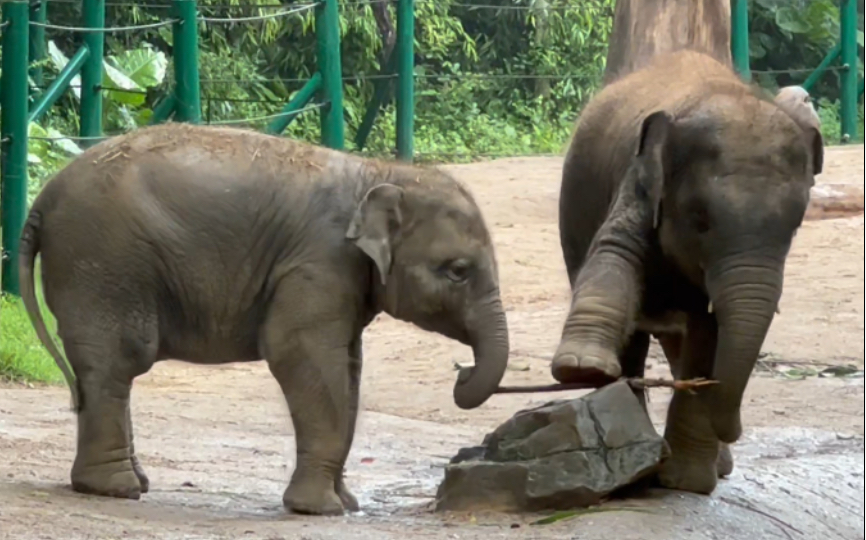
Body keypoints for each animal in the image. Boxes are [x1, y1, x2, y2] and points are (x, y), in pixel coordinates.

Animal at [20, 122, 510, 516]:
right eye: (458, 271)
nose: (461, 372)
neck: (379, 173)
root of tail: (42, 199)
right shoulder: (319, 262)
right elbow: (302, 355)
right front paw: (320, 511)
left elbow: (349, 369)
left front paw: (346, 504)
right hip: (103, 263)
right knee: (118, 360)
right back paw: (115, 490)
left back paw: (126, 483)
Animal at [552, 48, 820, 496]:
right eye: (700, 219)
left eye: (797, 224)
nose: (736, 429)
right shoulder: (638, 177)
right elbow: (613, 252)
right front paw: (581, 365)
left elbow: (709, 336)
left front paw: (687, 483)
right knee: (637, 343)